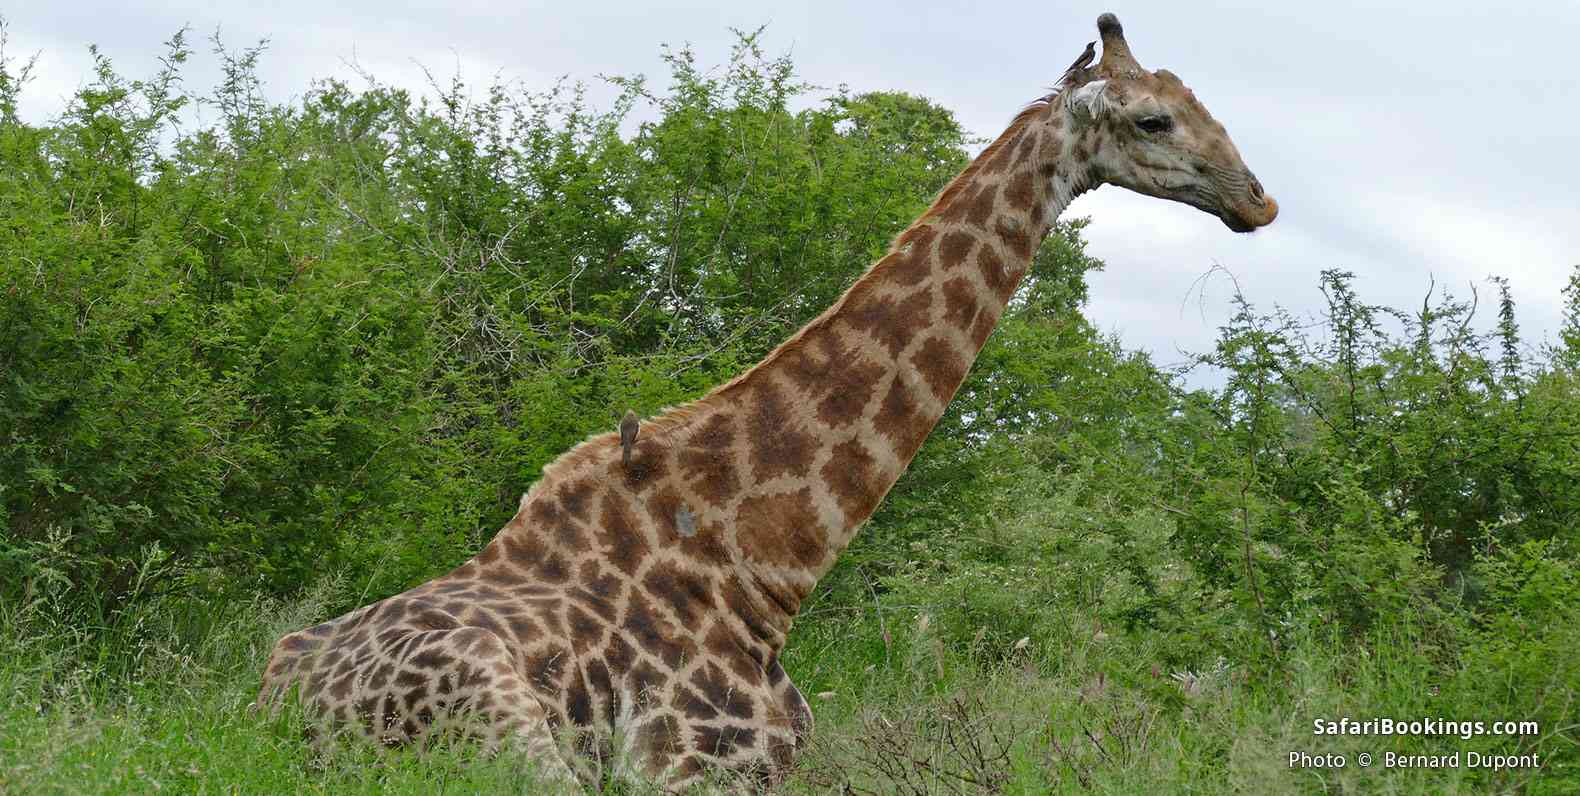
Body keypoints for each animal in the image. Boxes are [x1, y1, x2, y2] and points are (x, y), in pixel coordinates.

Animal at [258, 13, 1277, 791]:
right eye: (1153, 120)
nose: (1258, 200)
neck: (763, 566)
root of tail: (273, 702)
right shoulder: (685, 770)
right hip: (503, 733)